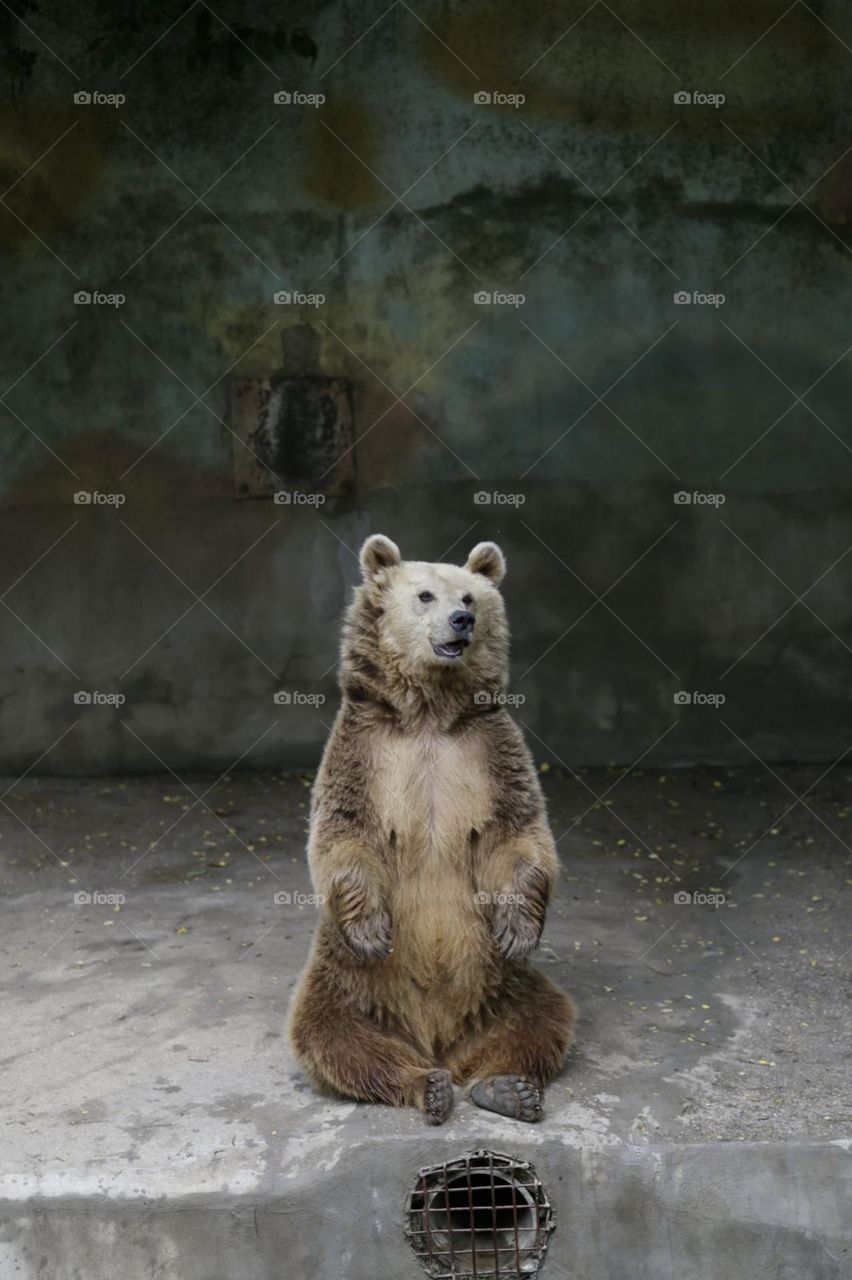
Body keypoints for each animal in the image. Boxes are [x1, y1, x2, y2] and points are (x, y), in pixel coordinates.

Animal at [287, 534, 574, 1124]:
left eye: (469, 594)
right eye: (424, 595)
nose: (462, 620)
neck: (428, 712)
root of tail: (438, 1039)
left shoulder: (488, 751)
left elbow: (517, 832)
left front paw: (517, 928)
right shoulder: (366, 752)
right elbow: (344, 833)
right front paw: (372, 929)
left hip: (506, 985)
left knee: (543, 1018)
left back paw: (505, 1087)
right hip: (344, 982)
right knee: (331, 1036)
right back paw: (427, 1087)